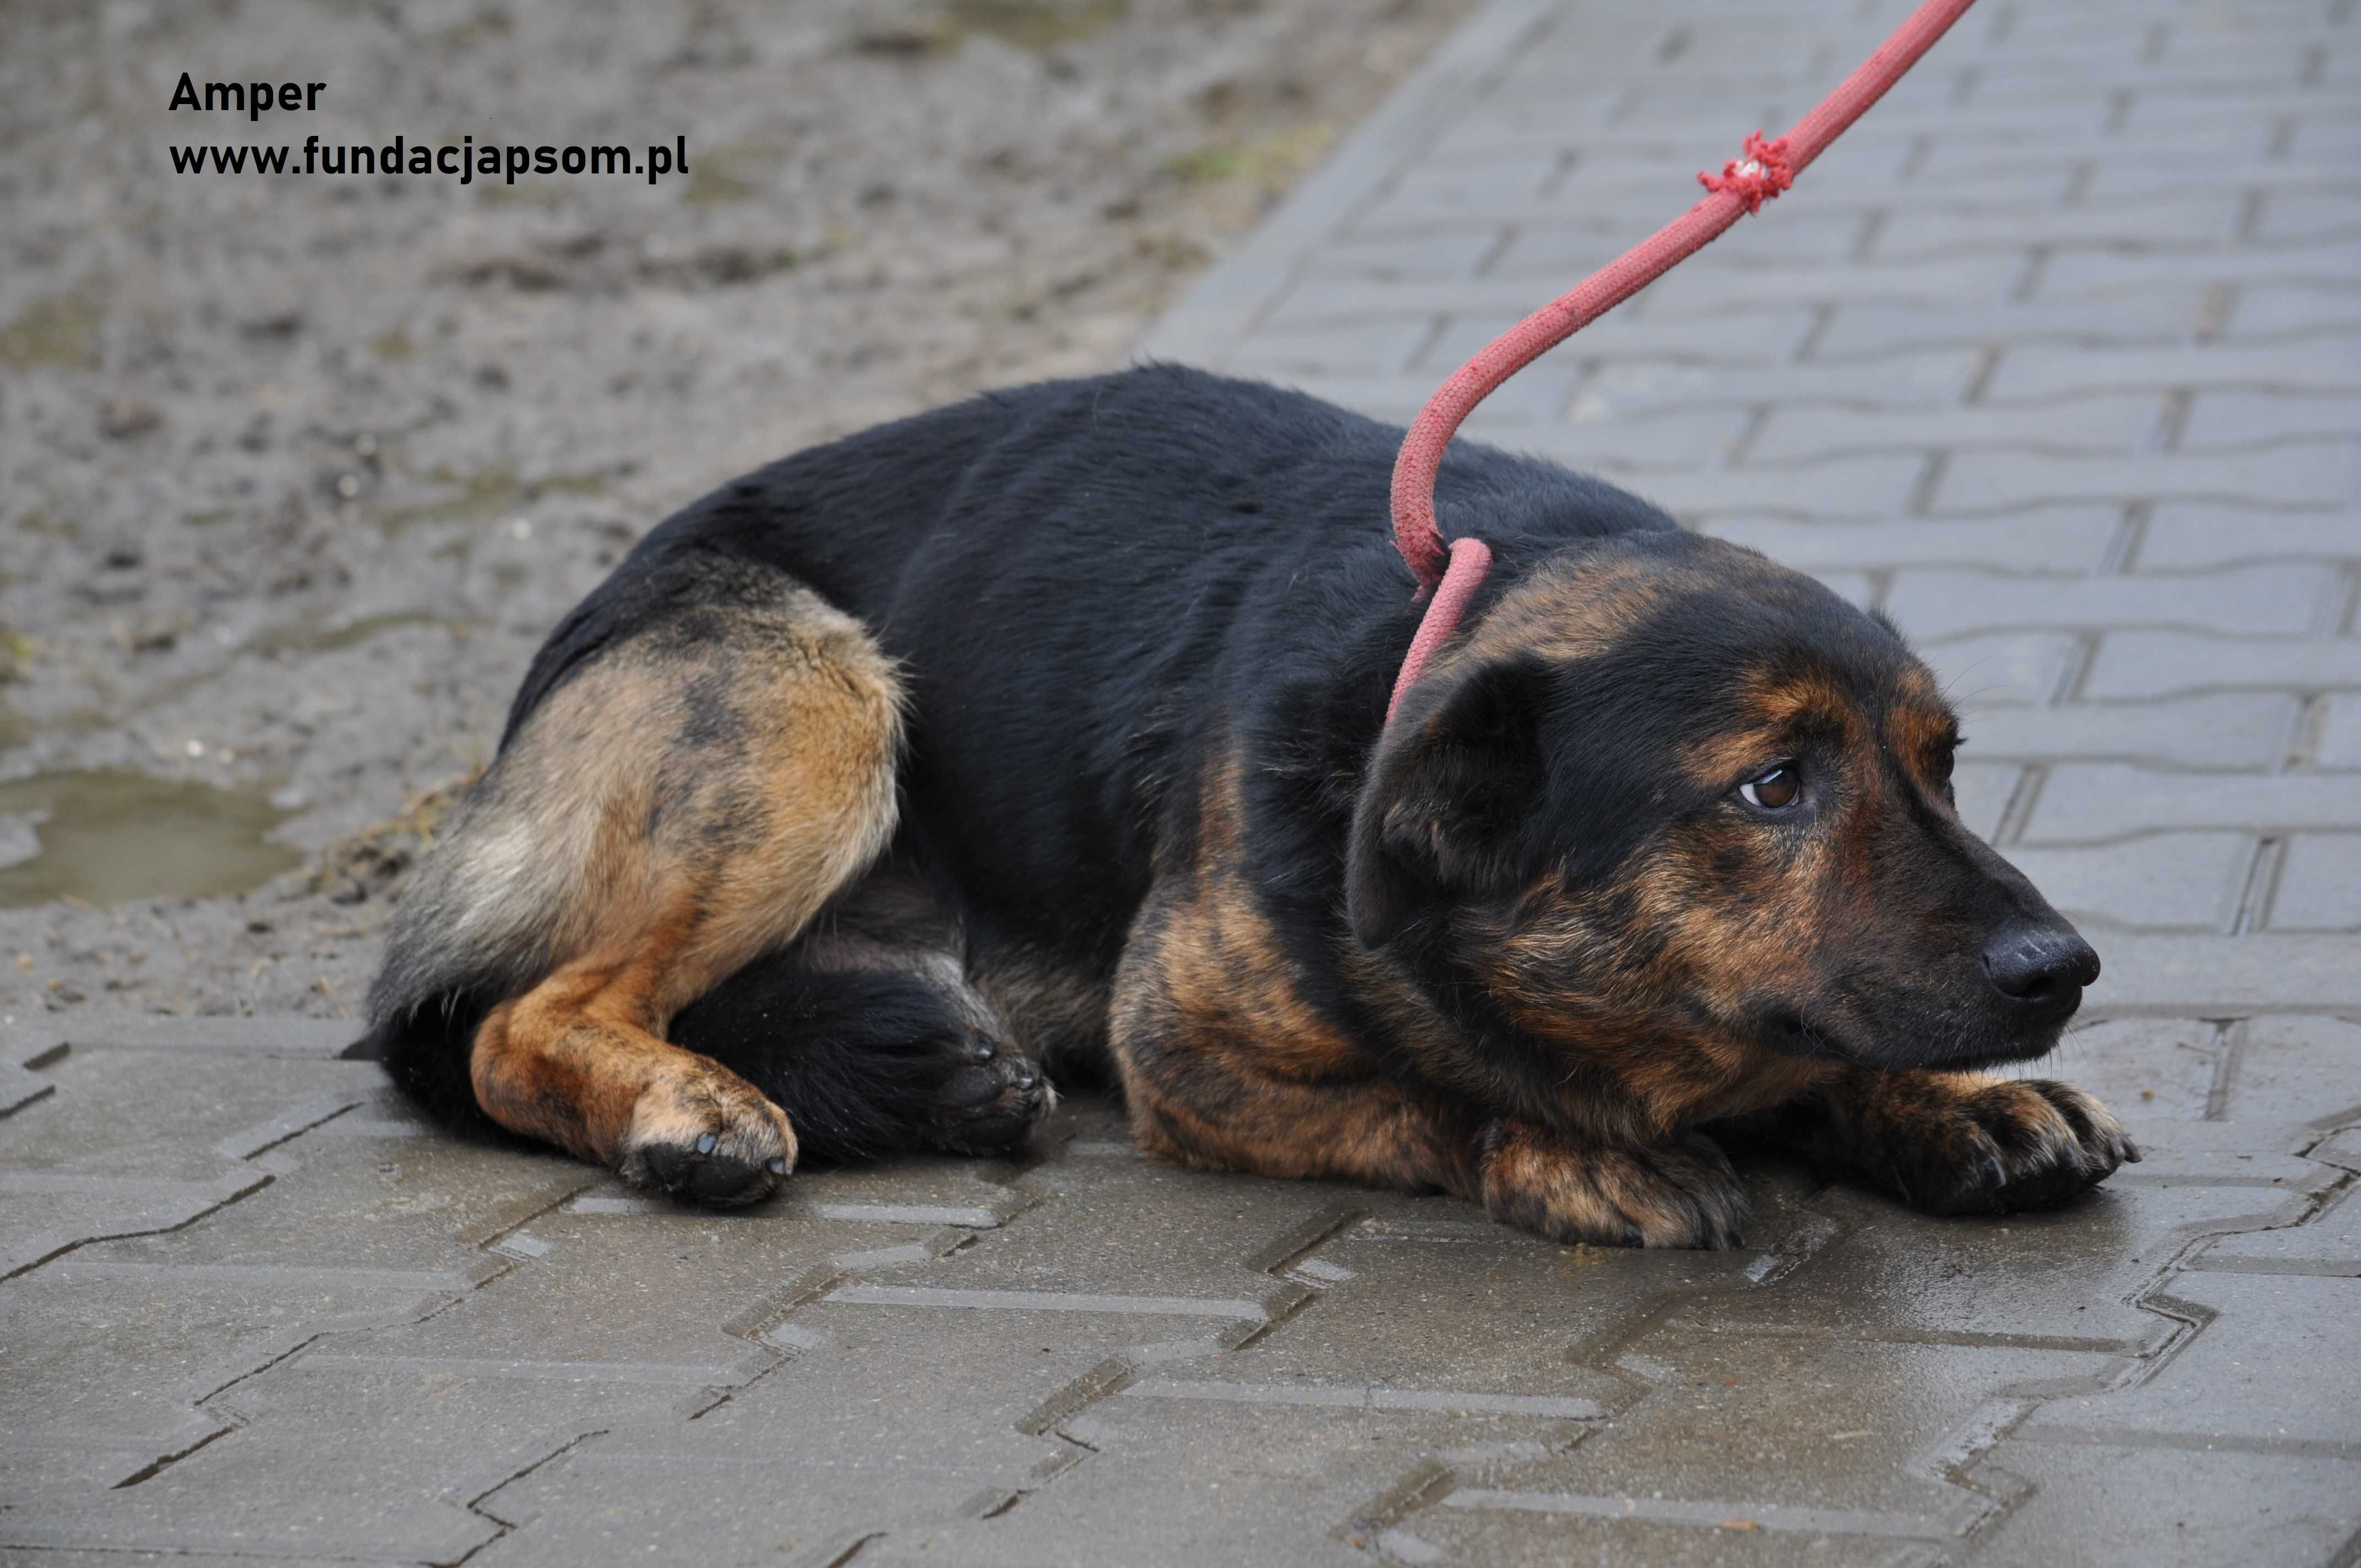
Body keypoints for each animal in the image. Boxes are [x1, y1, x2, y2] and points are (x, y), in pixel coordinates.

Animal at [354, 361, 2144, 1246]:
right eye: (1771, 785)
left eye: (1940, 763)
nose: (2060, 969)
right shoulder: (1189, 1054)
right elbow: (1433, 1093)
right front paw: (1566, 1144)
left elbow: (1806, 1043)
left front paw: (1945, 1104)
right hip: (810, 693)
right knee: (518, 1016)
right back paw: (693, 1102)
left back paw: (919, 1066)